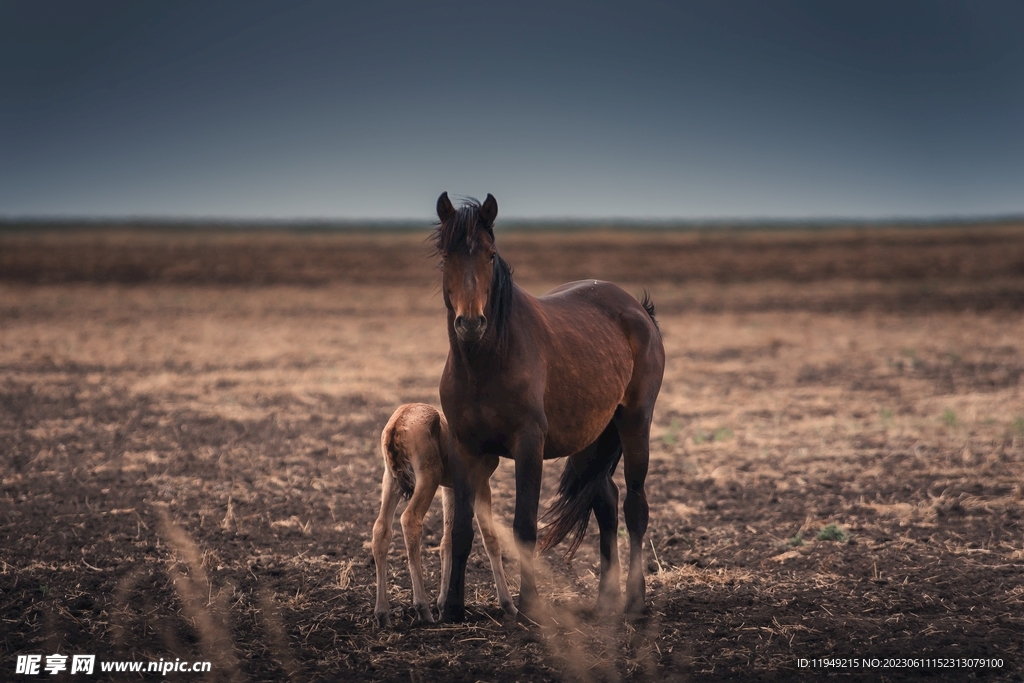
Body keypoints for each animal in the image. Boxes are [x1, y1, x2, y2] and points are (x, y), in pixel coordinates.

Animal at [370, 403, 516, 626]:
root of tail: (399, 422)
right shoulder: (481, 483)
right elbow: (490, 538)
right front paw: (509, 605)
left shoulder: (450, 487)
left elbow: (447, 540)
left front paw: (443, 606)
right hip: (428, 477)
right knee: (410, 519)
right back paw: (423, 609)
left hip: (390, 481)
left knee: (381, 529)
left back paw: (383, 614)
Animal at [432, 193, 663, 626]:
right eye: (446, 254)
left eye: (490, 255)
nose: (470, 323)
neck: (485, 363)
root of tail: (637, 308)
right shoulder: (463, 447)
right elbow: (461, 529)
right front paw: (452, 607)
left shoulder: (528, 446)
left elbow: (524, 526)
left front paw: (529, 608)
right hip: (590, 438)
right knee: (606, 501)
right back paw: (605, 603)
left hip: (635, 422)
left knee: (635, 506)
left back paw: (635, 602)